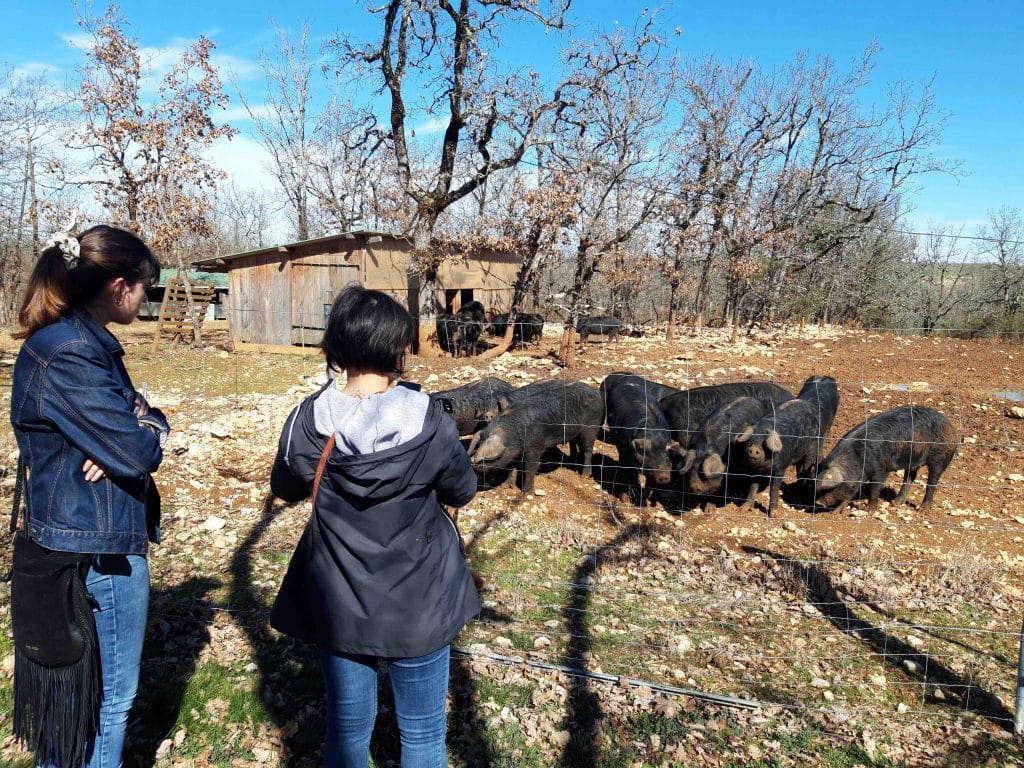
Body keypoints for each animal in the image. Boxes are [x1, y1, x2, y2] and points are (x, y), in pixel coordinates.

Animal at [468, 382, 602, 495]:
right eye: (479, 444)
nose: (471, 462)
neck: (513, 434)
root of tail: (596, 392)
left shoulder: (536, 447)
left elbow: (529, 469)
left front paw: (528, 493)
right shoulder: (516, 453)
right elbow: (512, 468)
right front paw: (508, 486)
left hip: (591, 427)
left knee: (588, 449)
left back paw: (584, 476)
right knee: (576, 445)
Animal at [602, 372, 684, 505]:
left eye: (667, 458)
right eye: (648, 456)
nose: (663, 476)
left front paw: (645, 503)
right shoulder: (626, 451)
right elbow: (628, 473)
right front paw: (625, 500)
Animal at [737, 376, 839, 520]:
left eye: (764, 442)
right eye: (751, 440)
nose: (754, 449)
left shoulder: (780, 468)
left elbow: (774, 488)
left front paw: (773, 515)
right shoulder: (754, 469)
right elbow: (752, 486)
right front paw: (744, 509)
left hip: (814, 445)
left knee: (807, 464)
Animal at [815, 405, 958, 514]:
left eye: (830, 489)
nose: (818, 503)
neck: (856, 459)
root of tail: (951, 426)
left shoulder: (880, 469)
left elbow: (874, 489)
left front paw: (869, 511)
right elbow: (851, 492)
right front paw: (835, 513)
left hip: (940, 456)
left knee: (932, 481)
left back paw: (922, 509)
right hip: (913, 461)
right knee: (909, 478)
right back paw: (895, 504)